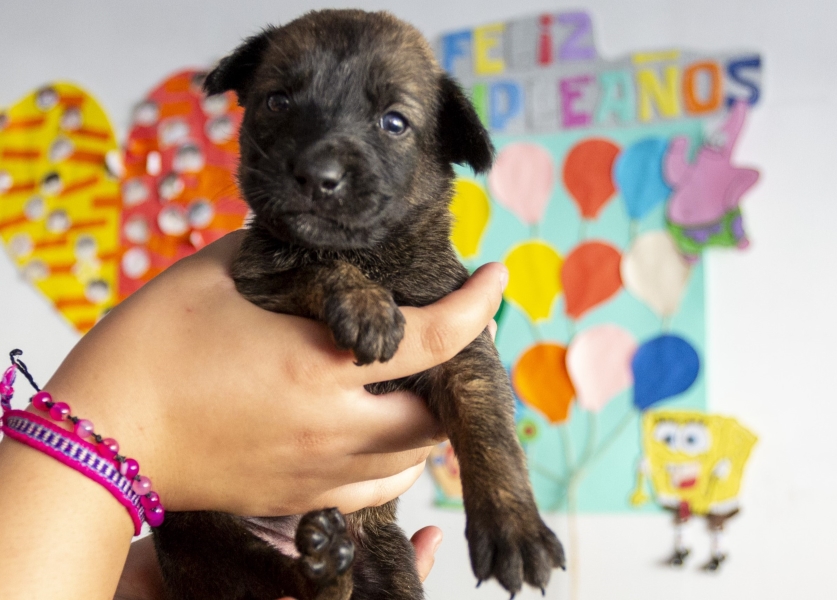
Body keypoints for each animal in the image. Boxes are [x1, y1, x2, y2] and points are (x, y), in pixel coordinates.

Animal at [153, 9, 564, 600]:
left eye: (393, 122)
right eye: (277, 101)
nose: (317, 177)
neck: (371, 254)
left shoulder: (465, 351)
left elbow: (489, 430)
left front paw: (515, 527)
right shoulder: (259, 280)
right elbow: (319, 268)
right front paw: (366, 307)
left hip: (391, 569)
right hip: (197, 530)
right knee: (275, 576)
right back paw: (321, 566)